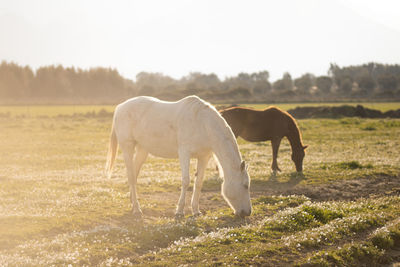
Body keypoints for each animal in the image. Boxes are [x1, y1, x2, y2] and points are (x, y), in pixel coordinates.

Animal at [104, 95, 252, 219]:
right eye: (245, 185)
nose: (247, 212)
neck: (202, 124)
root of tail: (120, 107)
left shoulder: (204, 156)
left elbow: (199, 182)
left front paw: (196, 211)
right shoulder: (184, 153)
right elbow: (186, 181)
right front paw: (179, 211)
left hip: (142, 150)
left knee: (134, 175)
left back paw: (132, 202)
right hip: (127, 147)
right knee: (131, 176)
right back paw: (136, 209)